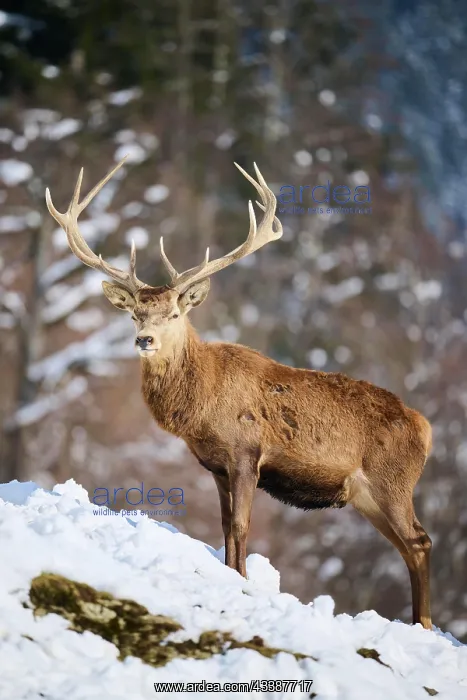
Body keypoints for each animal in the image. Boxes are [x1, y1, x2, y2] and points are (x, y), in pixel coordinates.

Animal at [45, 157, 433, 630]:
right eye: (136, 313)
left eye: (174, 313)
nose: (145, 340)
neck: (200, 408)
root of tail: (425, 428)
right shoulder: (215, 465)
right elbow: (226, 528)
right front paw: (232, 576)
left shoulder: (247, 452)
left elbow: (243, 527)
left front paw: (244, 584)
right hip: (366, 495)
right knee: (407, 546)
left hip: (392, 480)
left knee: (419, 541)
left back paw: (425, 624)